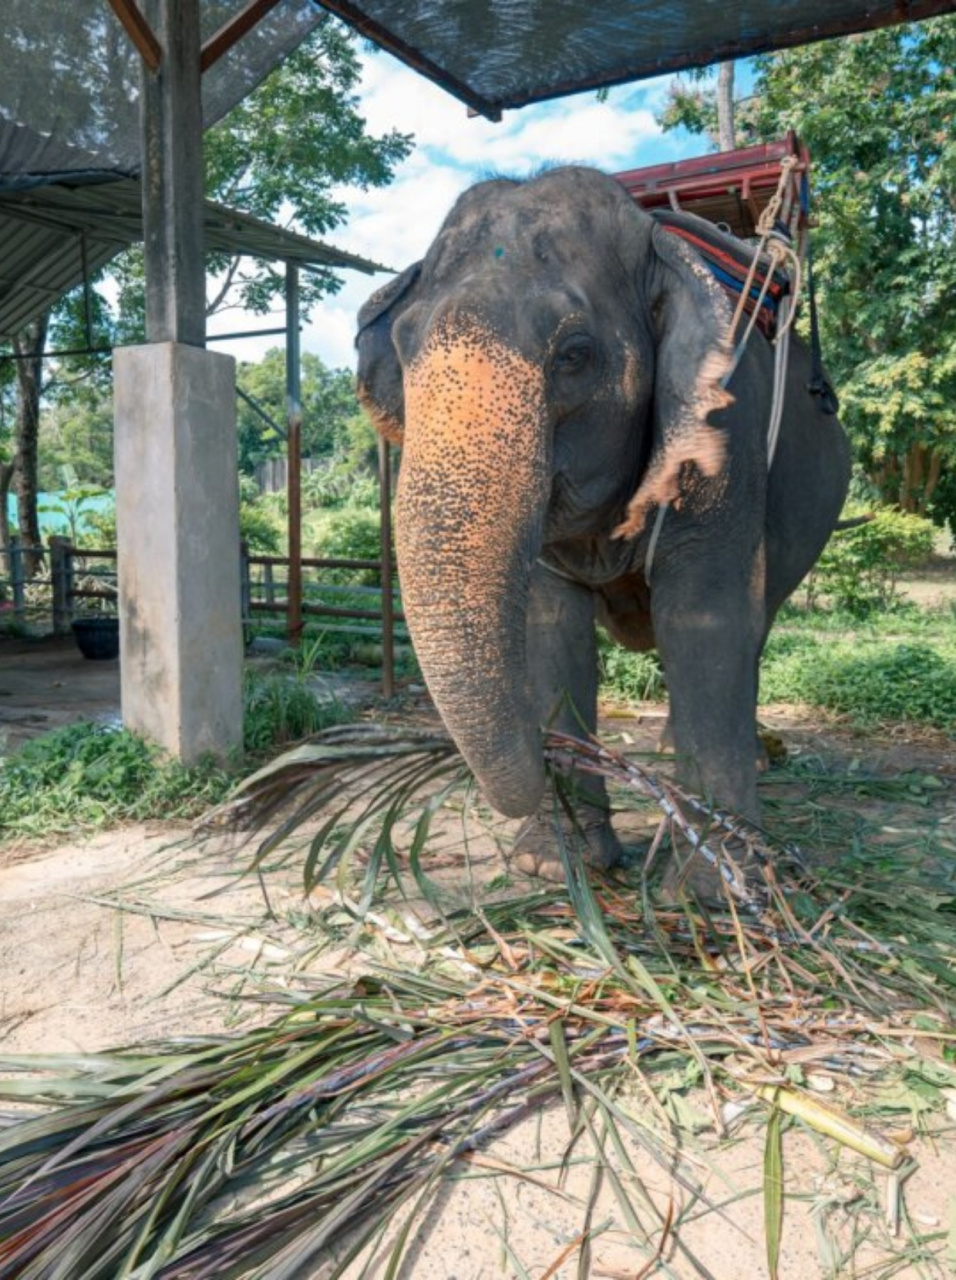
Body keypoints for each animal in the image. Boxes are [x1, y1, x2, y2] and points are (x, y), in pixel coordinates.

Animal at [358, 165, 854, 885]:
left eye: (574, 353)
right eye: (403, 348)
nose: (542, 755)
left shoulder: (725, 424)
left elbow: (702, 615)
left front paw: (718, 888)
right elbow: (550, 627)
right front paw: (551, 863)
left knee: (756, 619)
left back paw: (740, 757)